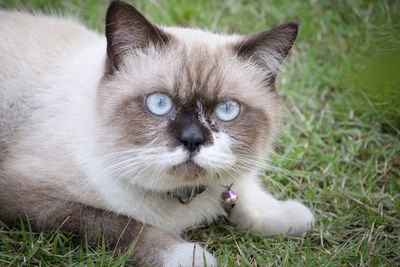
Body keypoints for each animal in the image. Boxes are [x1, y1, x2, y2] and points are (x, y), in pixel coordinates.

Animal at [0, 1, 316, 266]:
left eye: (227, 109)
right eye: (160, 104)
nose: (192, 140)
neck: (184, 198)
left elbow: (245, 193)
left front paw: (291, 216)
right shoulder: (30, 197)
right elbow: (121, 225)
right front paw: (191, 257)